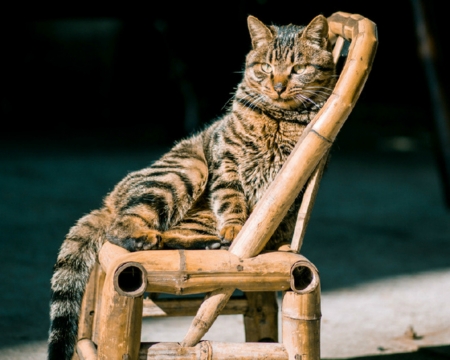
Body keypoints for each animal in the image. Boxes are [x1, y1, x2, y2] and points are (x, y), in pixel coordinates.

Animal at [47, 14, 336, 360]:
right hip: (188, 170)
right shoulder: (226, 162)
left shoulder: (294, 177)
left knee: (169, 235)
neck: (278, 116)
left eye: (298, 68)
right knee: (121, 229)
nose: (278, 86)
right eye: (266, 67)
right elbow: (232, 200)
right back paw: (154, 238)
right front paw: (236, 227)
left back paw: (207, 244)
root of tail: (108, 202)